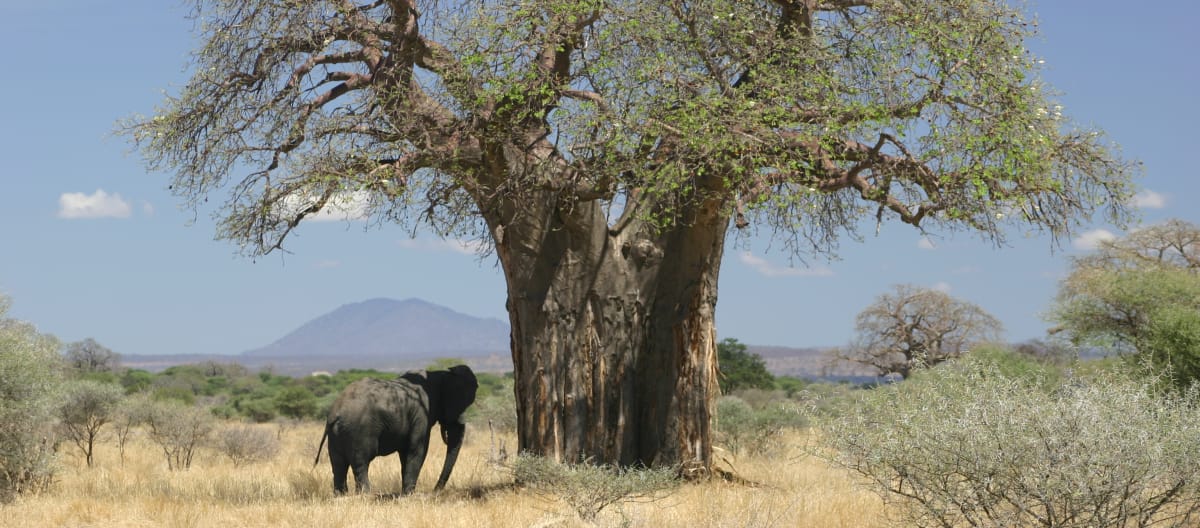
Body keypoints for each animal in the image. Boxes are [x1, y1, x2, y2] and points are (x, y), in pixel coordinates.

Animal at [314, 362, 477, 494]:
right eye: (459, 403)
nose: (435, 490)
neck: (439, 374)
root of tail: (334, 413)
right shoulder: (421, 414)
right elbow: (417, 450)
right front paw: (409, 494)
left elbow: (405, 453)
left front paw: (406, 492)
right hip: (359, 430)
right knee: (361, 462)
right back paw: (365, 494)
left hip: (336, 434)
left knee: (338, 464)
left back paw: (341, 495)